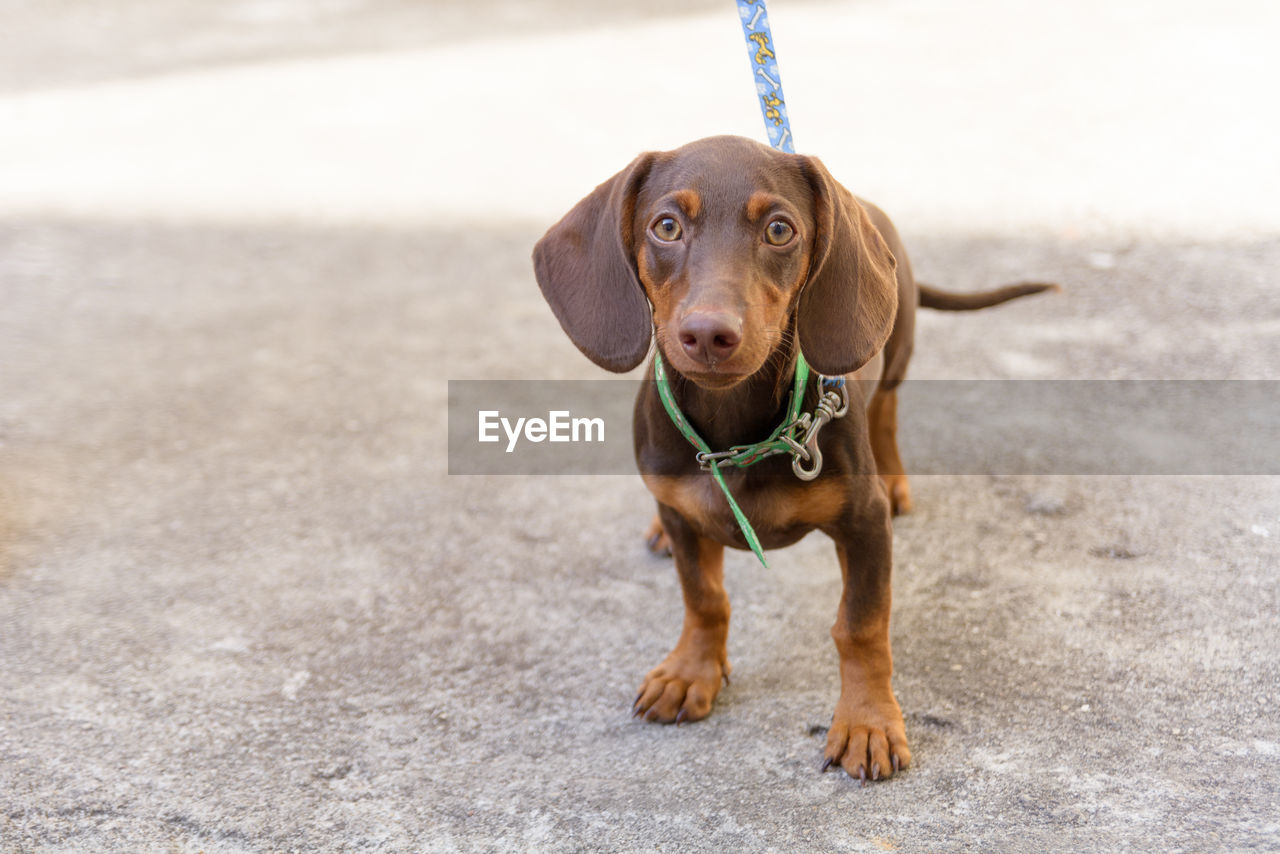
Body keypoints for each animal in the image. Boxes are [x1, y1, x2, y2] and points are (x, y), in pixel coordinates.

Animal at [527, 133, 1049, 783]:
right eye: (666, 226)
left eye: (780, 230)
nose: (709, 334)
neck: (738, 434)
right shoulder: (682, 513)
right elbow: (703, 598)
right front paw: (690, 673)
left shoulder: (865, 524)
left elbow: (860, 626)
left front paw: (868, 723)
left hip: (896, 348)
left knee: (888, 409)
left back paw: (898, 478)